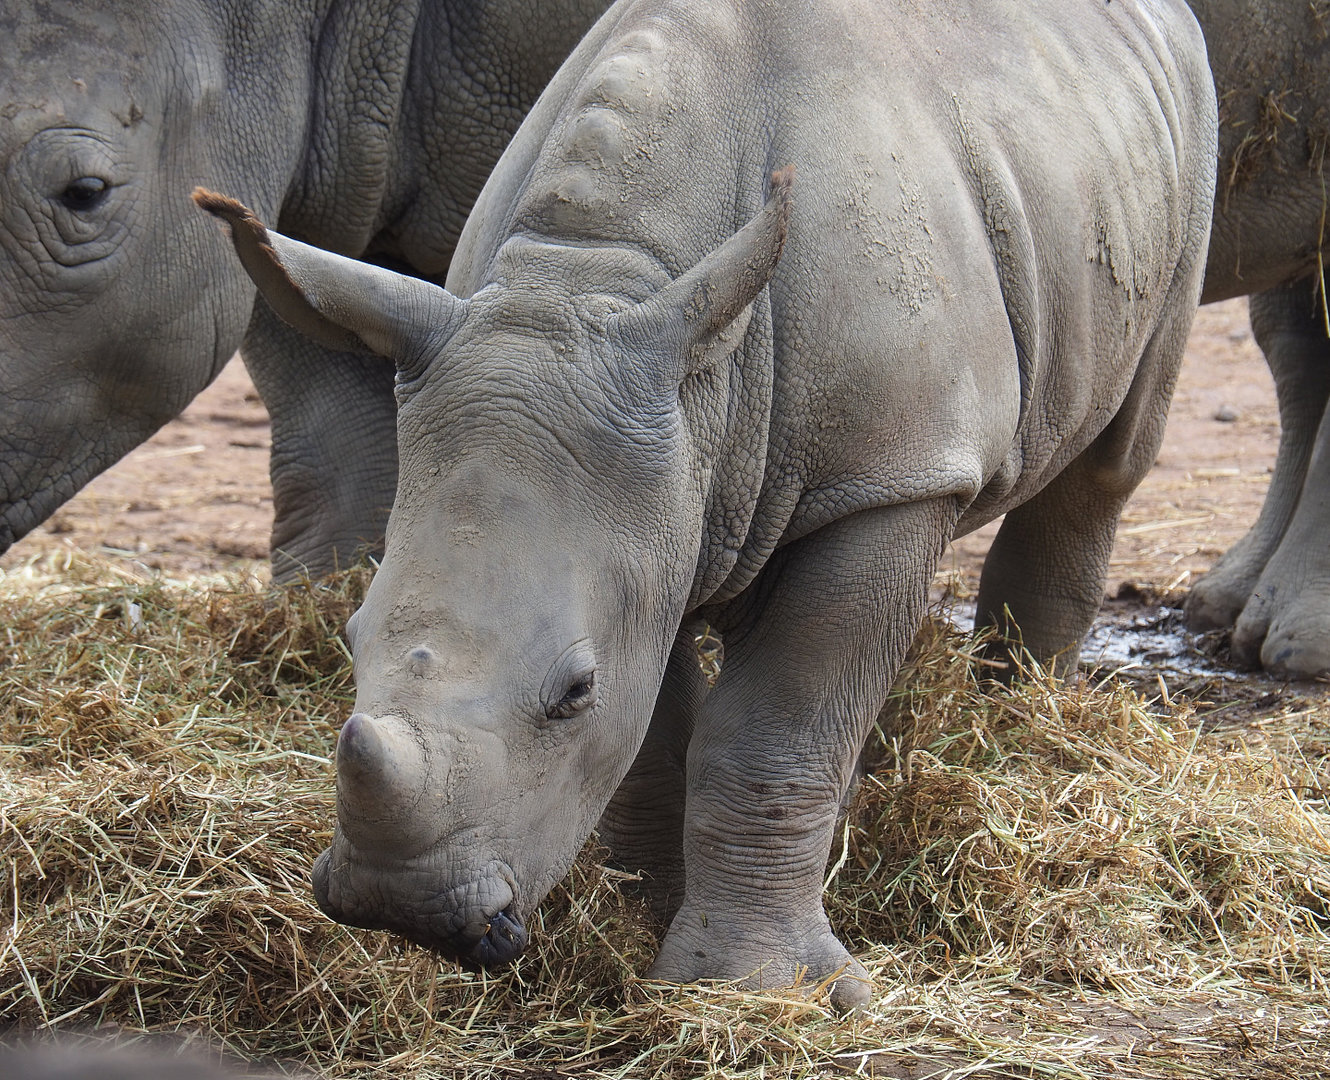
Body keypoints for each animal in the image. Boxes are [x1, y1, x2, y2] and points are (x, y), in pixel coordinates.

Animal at [201, 0, 1217, 1007]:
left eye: (573, 691)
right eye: (350, 639)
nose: (398, 906)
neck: (591, 279)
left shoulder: (890, 477)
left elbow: (775, 731)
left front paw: (757, 989)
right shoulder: (653, 502)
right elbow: (655, 733)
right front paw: (648, 925)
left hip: (1185, 137)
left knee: (1111, 455)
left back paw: (1018, 728)